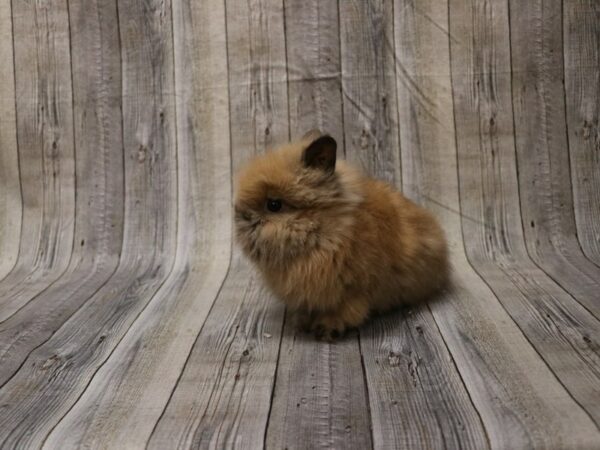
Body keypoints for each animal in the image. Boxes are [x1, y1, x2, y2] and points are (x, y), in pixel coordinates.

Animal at [232, 131, 448, 342]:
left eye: (274, 205)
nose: (240, 216)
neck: (326, 230)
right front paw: (301, 323)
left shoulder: (354, 292)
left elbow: (346, 312)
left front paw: (326, 329)